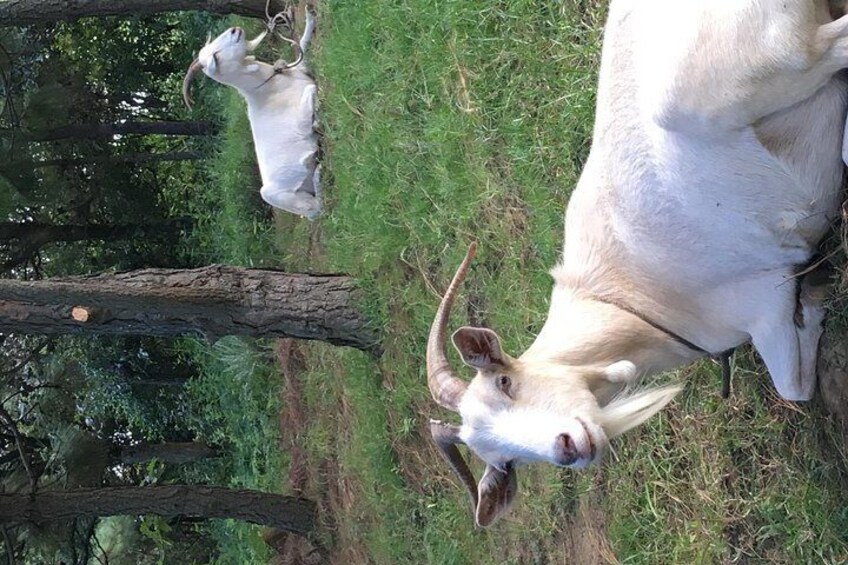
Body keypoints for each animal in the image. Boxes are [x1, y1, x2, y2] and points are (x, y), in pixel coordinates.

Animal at [183, 11, 322, 218]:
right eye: (215, 56)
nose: (234, 30)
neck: (268, 88)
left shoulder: (299, 68)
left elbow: (302, 45)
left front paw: (310, 17)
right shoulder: (300, 121)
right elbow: (311, 89)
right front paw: (317, 121)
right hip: (276, 195)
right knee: (315, 210)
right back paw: (319, 177)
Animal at [428, 0, 848, 528]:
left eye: (506, 381)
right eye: (504, 460)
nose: (567, 447)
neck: (625, 296)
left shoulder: (762, 302)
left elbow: (794, 386)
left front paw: (815, 296)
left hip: (766, 66)